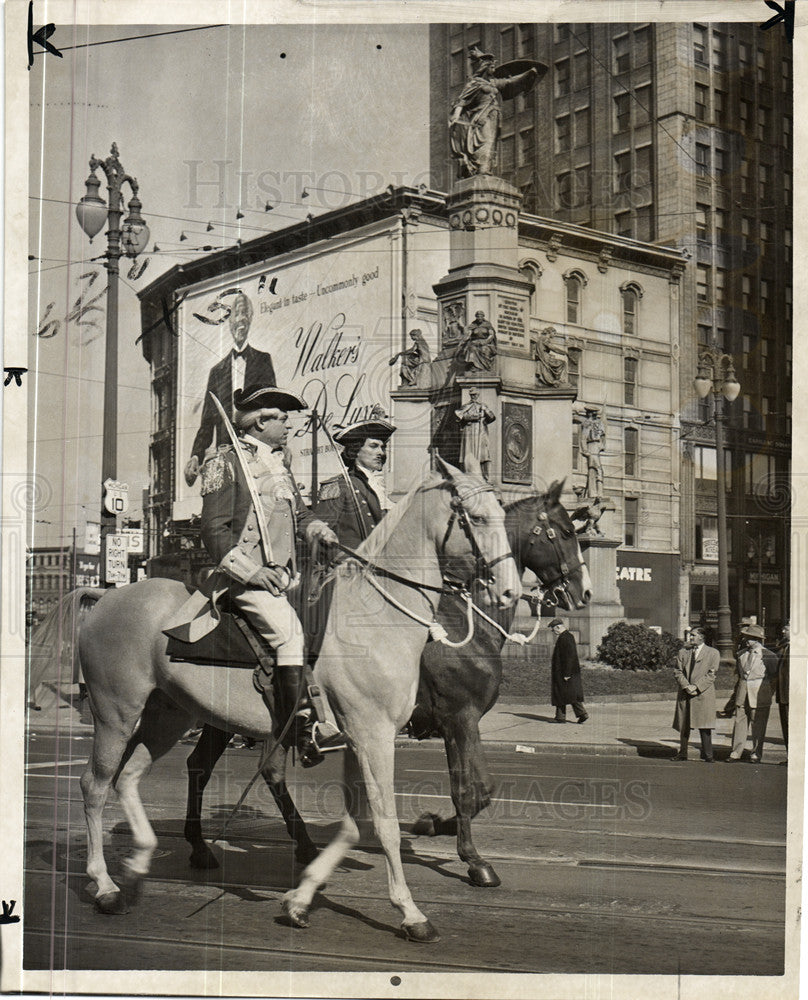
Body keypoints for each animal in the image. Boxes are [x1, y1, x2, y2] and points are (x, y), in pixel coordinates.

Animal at [181, 480, 588, 888]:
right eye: (565, 532)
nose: (583, 592)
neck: (465, 623)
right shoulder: (461, 717)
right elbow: (473, 790)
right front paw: (465, 852)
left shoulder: (455, 723)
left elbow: (471, 789)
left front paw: (437, 829)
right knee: (234, 768)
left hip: (234, 717)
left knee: (225, 766)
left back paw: (248, 848)